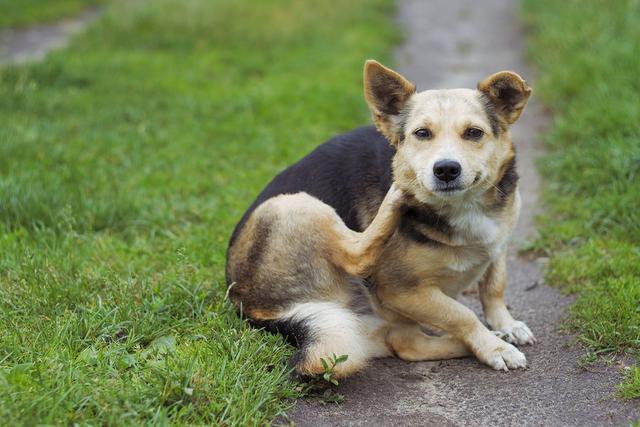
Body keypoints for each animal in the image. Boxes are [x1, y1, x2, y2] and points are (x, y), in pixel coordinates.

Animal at [225, 59, 536, 378]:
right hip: (295, 204)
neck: (465, 206)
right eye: (422, 133)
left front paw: (505, 326)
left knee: (405, 343)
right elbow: (462, 314)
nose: (446, 169)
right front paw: (494, 347)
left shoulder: (499, 243)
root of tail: (250, 306)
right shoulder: (400, 290)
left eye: (474, 133)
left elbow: (494, 286)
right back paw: (398, 195)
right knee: (358, 258)